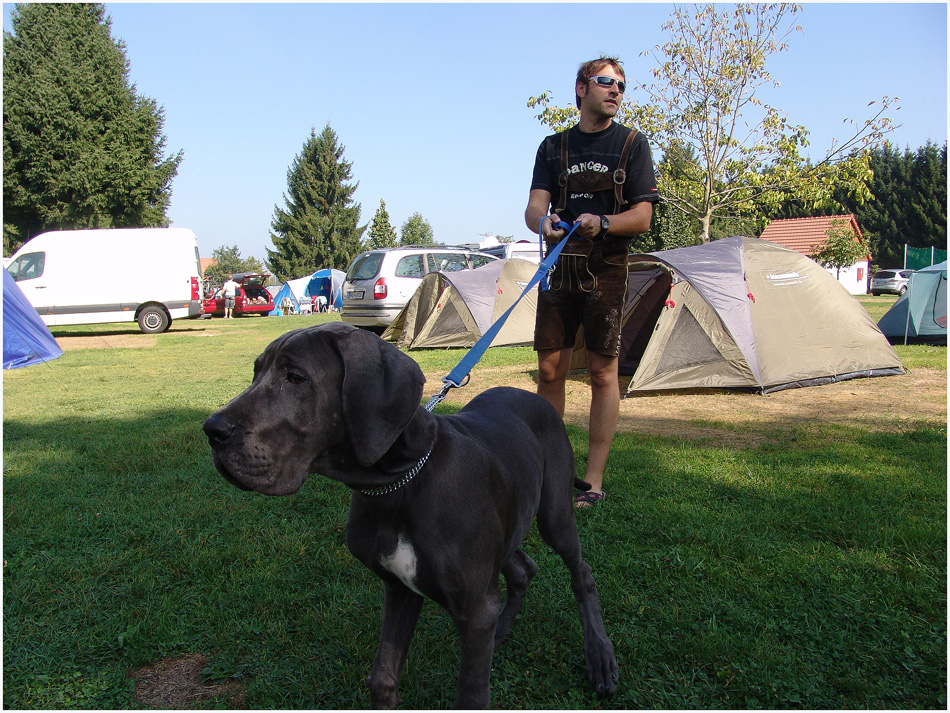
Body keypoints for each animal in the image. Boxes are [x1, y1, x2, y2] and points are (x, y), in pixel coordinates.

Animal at [203, 322, 616, 708]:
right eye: (256, 372)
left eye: (295, 378)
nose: (212, 430)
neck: (398, 486)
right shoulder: (401, 587)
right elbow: (382, 678)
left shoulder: (473, 610)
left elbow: (470, 696)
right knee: (522, 568)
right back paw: (505, 628)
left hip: (554, 515)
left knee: (582, 573)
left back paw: (600, 656)